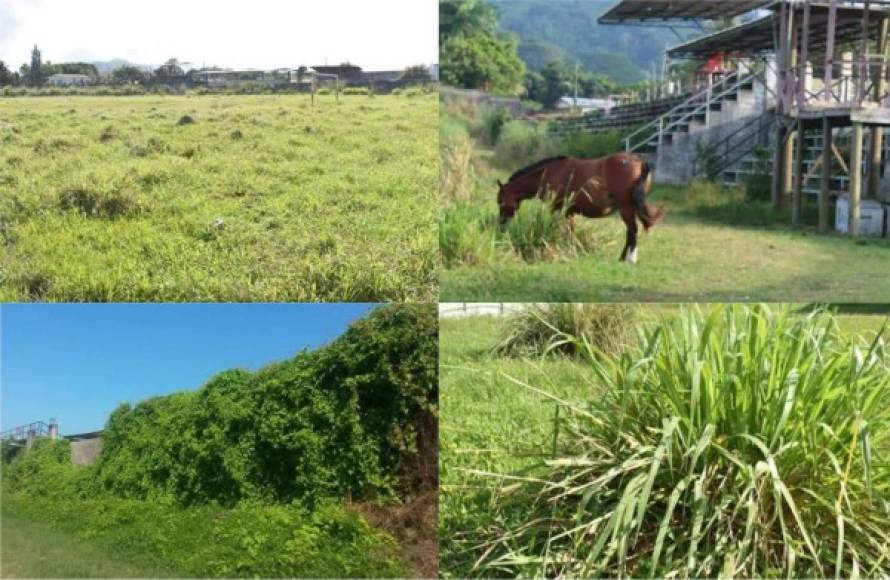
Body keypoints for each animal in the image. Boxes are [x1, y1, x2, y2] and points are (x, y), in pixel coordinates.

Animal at [496, 153, 664, 264]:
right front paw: (571, 251)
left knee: (632, 231)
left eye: (500, 203)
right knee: (630, 232)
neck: (550, 172)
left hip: (626, 208)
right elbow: (570, 231)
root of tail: (639, 161)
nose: (500, 227)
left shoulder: (557, 209)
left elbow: (561, 230)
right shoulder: (569, 212)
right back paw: (621, 258)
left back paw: (630, 259)